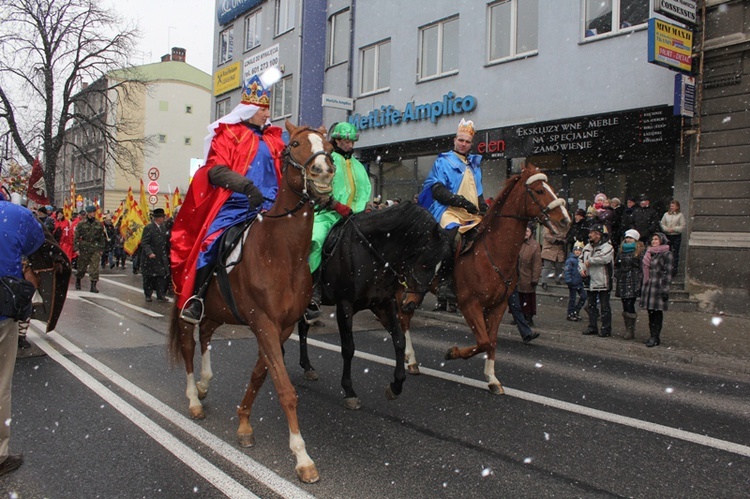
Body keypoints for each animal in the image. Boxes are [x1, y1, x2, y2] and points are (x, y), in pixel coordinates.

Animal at [172, 119, 336, 482]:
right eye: (296, 144)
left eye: (330, 146)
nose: (323, 173)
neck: (282, 253)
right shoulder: (263, 322)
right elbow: (285, 389)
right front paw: (302, 458)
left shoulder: (283, 326)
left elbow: (261, 375)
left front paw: (244, 423)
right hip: (183, 302)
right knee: (188, 345)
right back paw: (193, 399)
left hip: (217, 310)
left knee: (205, 334)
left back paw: (204, 384)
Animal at [300, 202, 452, 410]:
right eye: (424, 262)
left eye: (441, 267)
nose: (411, 303)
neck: (370, 252)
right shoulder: (345, 306)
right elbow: (348, 348)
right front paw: (349, 391)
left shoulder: (383, 304)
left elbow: (399, 340)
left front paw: (396, 386)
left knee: (302, 326)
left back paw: (306, 366)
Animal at [406, 164, 568, 394]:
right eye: (539, 191)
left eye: (551, 188)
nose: (565, 220)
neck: (492, 251)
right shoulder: (469, 303)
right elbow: (482, 341)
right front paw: (452, 352)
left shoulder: (498, 305)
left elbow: (491, 341)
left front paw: (492, 379)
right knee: (403, 317)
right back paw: (410, 361)